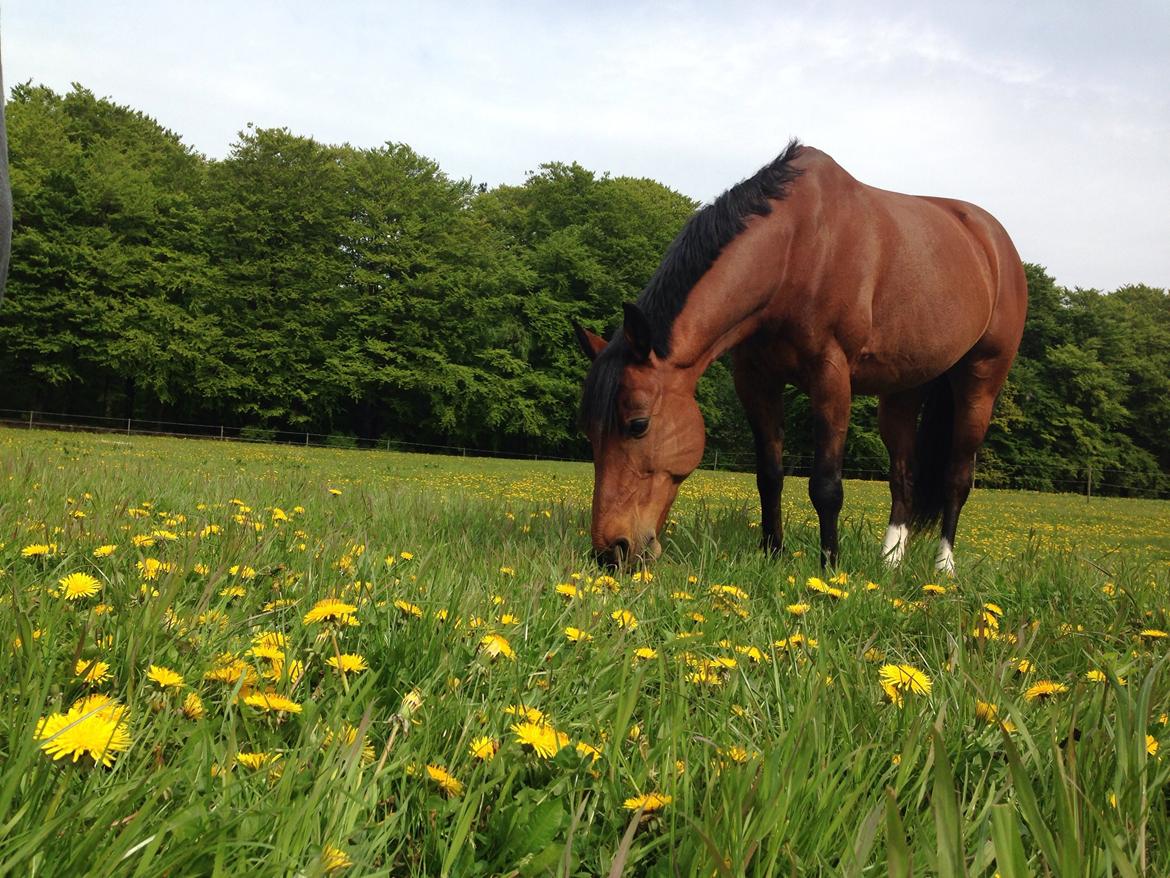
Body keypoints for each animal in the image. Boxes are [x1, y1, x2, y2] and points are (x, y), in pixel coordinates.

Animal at [573, 139, 1024, 571]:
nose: (611, 551)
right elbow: (769, 475)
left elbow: (826, 486)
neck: (796, 249)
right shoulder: (756, 380)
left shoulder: (830, 377)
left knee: (957, 477)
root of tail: (994, 240)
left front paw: (829, 570)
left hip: (980, 384)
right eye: (590, 431)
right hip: (902, 390)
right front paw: (772, 554)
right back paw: (889, 565)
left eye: (638, 425)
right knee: (904, 477)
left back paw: (943, 569)